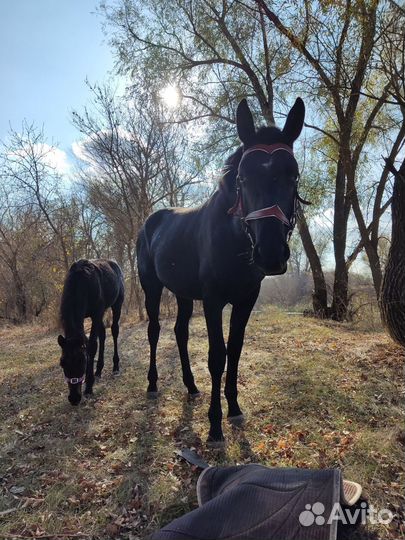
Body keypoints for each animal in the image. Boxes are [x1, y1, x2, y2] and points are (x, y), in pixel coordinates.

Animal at [56, 258, 123, 404]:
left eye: (82, 361)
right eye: (62, 363)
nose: (74, 398)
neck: (81, 282)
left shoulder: (96, 313)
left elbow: (92, 345)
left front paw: (89, 386)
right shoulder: (94, 315)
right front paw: (92, 376)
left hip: (117, 305)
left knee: (114, 331)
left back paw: (115, 366)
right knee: (102, 335)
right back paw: (98, 370)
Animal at [136, 97, 304, 442]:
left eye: (293, 175)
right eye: (243, 178)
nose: (270, 254)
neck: (234, 238)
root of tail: (151, 221)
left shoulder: (245, 300)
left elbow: (235, 350)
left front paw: (235, 410)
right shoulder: (213, 301)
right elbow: (217, 356)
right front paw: (214, 425)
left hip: (183, 294)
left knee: (181, 333)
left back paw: (190, 386)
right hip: (152, 288)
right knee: (155, 331)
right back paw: (153, 383)